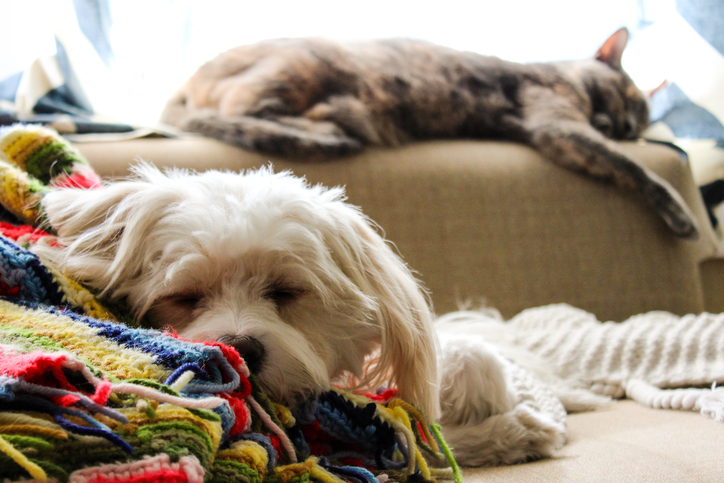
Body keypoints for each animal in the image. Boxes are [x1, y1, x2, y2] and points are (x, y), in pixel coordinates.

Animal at [161, 27, 700, 239]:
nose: (628, 127)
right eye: (626, 99)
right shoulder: (559, 125)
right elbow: (637, 171)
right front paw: (683, 216)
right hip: (302, 65)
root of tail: (181, 84)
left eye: (642, 122)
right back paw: (331, 126)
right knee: (244, 111)